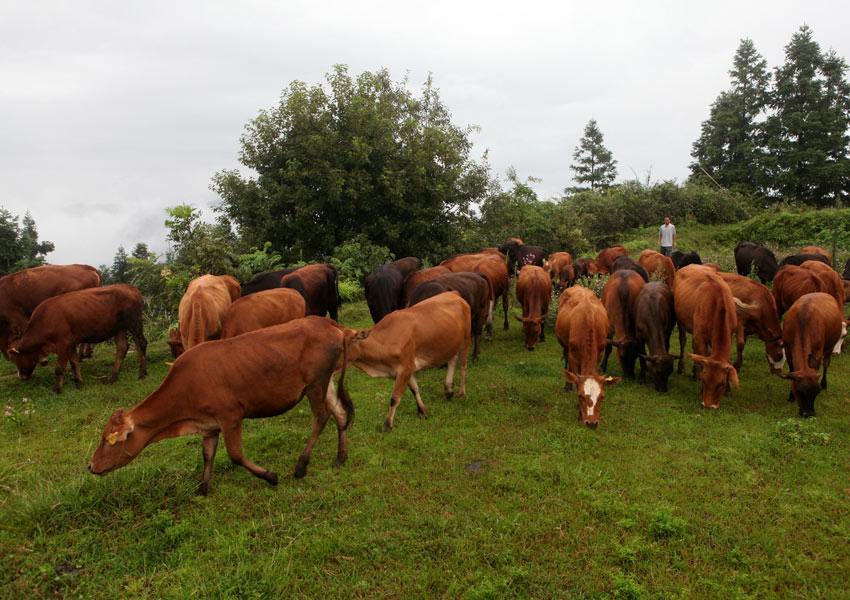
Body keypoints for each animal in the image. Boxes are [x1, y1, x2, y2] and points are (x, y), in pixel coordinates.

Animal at [8, 284, 146, 394]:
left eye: (16, 359)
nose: (21, 376)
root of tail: (130, 287)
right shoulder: (71, 343)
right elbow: (74, 364)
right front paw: (78, 384)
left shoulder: (63, 344)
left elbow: (59, 368)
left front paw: (57, 390)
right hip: (118, 328)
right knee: (122, 347)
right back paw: (113, 377)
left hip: (134, 322)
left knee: (141, 343)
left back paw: (142, 374)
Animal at [86, 316, 352, 494]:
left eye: (107, 440)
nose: (90, 466)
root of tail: (328, 323)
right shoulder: (208, 424)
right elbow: (207, 455)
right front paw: (203, 488)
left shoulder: (230, 417)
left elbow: (235, 455)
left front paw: (270, 477)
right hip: (325, 382)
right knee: (340, 414)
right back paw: (340, 457)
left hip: (316, 384)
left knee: (322, 417)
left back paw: (301, 466)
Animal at [338, 290, 470, 432]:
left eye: (339, 347)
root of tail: (454, 293)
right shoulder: (406, 369)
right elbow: (415, 389)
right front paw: (422, 412)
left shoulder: (406, 368)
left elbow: (394, 398)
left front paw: (387, 425)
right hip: (451, 343)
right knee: (452, 360)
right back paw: (448, 389)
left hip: (466, 340)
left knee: (463, 367)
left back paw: (462, 394)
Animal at [552, 284, 620, 426]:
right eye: (580, 396)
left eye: (602, 397)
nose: (592, 423)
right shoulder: (573, 355)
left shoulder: (600, 352)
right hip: (566, 346)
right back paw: (568, 385)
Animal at [672, 266, 740, 408]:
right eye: (704, 380)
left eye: (721, 384)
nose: (709, 405)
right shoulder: (700, 337)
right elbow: (702, 360)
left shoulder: (730, 334)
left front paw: (729, 390)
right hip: (680, 320)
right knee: (683, 341)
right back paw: (683, 368)